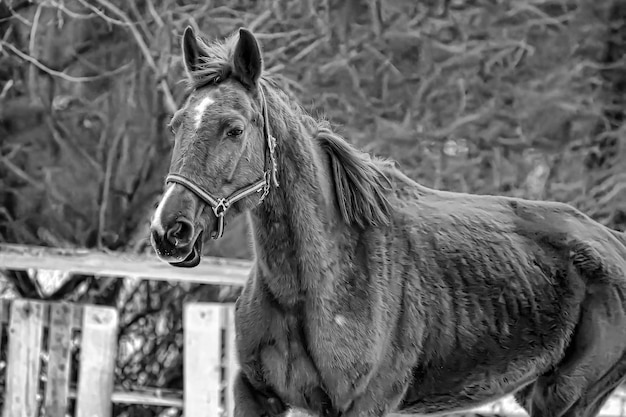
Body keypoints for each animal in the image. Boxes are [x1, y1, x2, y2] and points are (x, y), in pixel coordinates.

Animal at [149, 26, 624, 416]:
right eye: (176, 125)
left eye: (234, 129)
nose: (170, 231)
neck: (318, 284)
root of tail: (614, 244)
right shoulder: (255, 394)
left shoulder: (362, 404)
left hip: (566, 399)